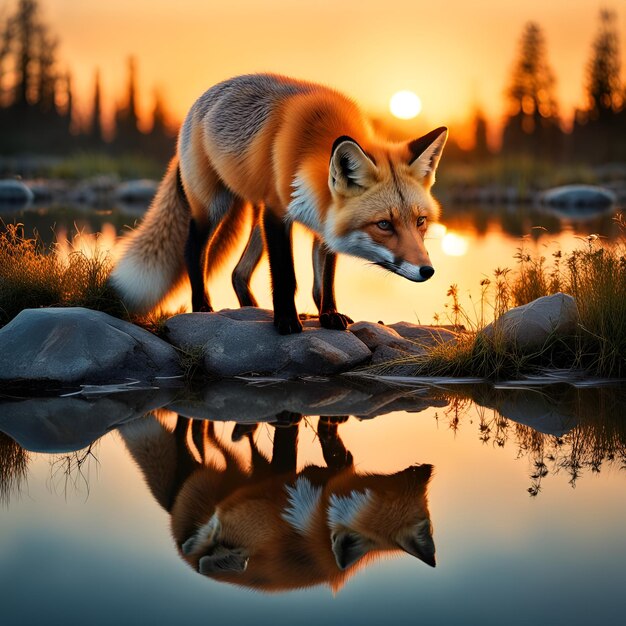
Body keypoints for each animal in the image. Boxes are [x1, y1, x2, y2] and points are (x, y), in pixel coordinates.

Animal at [109, 73, 446, 332]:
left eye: (420, 221)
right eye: (384, 224)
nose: (427, 271)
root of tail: (200, 102)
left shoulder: (322, 220)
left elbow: (324, 280)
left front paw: (327, 315)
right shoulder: (277, 214)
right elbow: (286, 276)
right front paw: (286, 322)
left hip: (253, 216)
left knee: (238, 272)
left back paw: (252, 310)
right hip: (214, 208)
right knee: (193, 250)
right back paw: (203, 307)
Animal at [120, 410, 434, 588]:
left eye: (422, 509)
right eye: (392, 493)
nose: (427, 470)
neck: (320, 515)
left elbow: (336, 452)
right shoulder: (287, 480)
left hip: (231, 475)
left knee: (205, 442)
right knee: (186, 438)